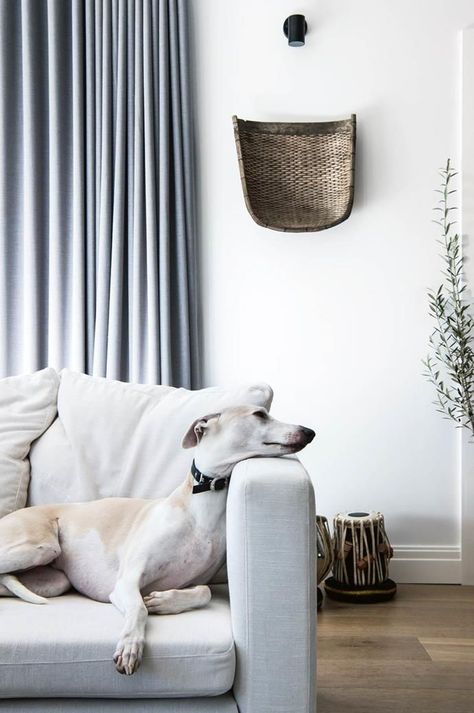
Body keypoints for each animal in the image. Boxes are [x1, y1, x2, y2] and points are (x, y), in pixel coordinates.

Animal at [0, 406, 318, 672]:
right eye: (260, 414)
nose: (310, 431)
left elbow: (204, 591)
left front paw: (163, 601)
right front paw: (130, 645)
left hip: (54, 580)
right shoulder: (126, 582)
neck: (201, 505)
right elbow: (139, 609)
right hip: (40, 547)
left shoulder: (194, 580)